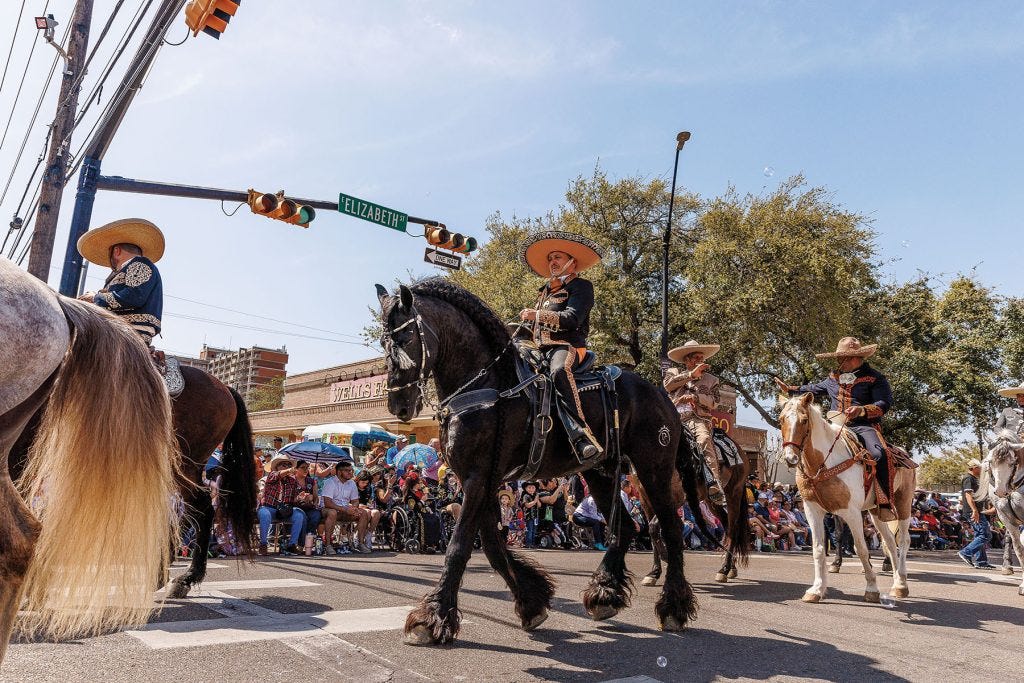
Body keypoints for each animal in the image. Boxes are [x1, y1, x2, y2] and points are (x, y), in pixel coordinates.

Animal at [378, 278, 712, 647]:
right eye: (383, 341)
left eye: (406, 338)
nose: (398, 405)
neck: (490, 383)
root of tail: (663, 398)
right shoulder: (483, 480)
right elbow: (493, 545)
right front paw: (531, 601)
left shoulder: (479, 477)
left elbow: (460, 546)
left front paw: (433, 617)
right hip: (599, 473)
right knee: (627, 528)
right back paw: (604, 595)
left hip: (654, 470)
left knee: (670, 530)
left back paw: (672, 608)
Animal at [778, 395, 917, 602]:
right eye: (781, 420)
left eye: (804, 421)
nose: (791, 458)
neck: (823, 464)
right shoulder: (813, 510)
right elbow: (819, 548)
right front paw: (817, 589)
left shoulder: (852, 512)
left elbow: (861, 548)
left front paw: (872, 588)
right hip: (877, 512)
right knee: (891, 543)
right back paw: (896, 581)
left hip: (903, 505)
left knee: (903, 540)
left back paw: (901, 585)